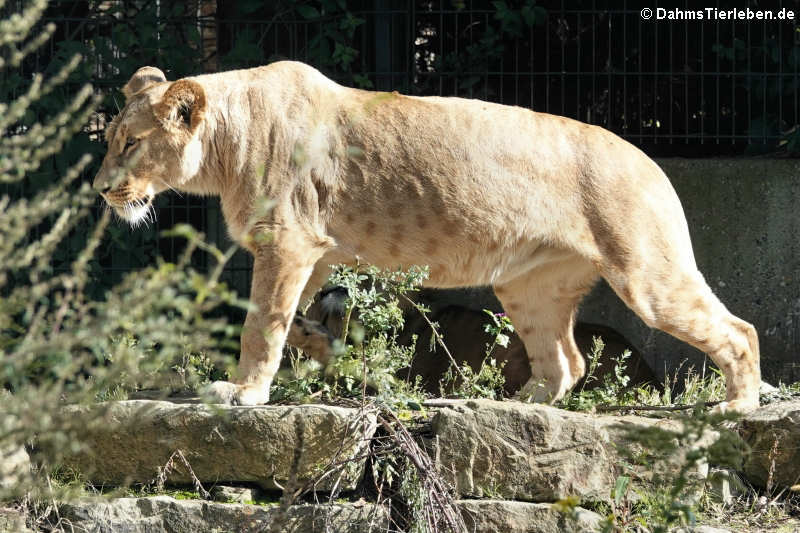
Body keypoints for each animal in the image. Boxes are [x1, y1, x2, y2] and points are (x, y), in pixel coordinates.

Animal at [94, 62, 764, 412]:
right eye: (111, 141)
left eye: (130, 143)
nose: (101, 190)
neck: (227, 144)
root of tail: (651, 161)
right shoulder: (312, 251)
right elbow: (291, 317)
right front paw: (318, 342)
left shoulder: (286, 241)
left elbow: (261, 323)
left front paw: (242, 391)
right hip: (530, 287)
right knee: (567, 362)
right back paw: (514, 407)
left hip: (646, 274)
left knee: (739, 330)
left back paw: (738, 406)